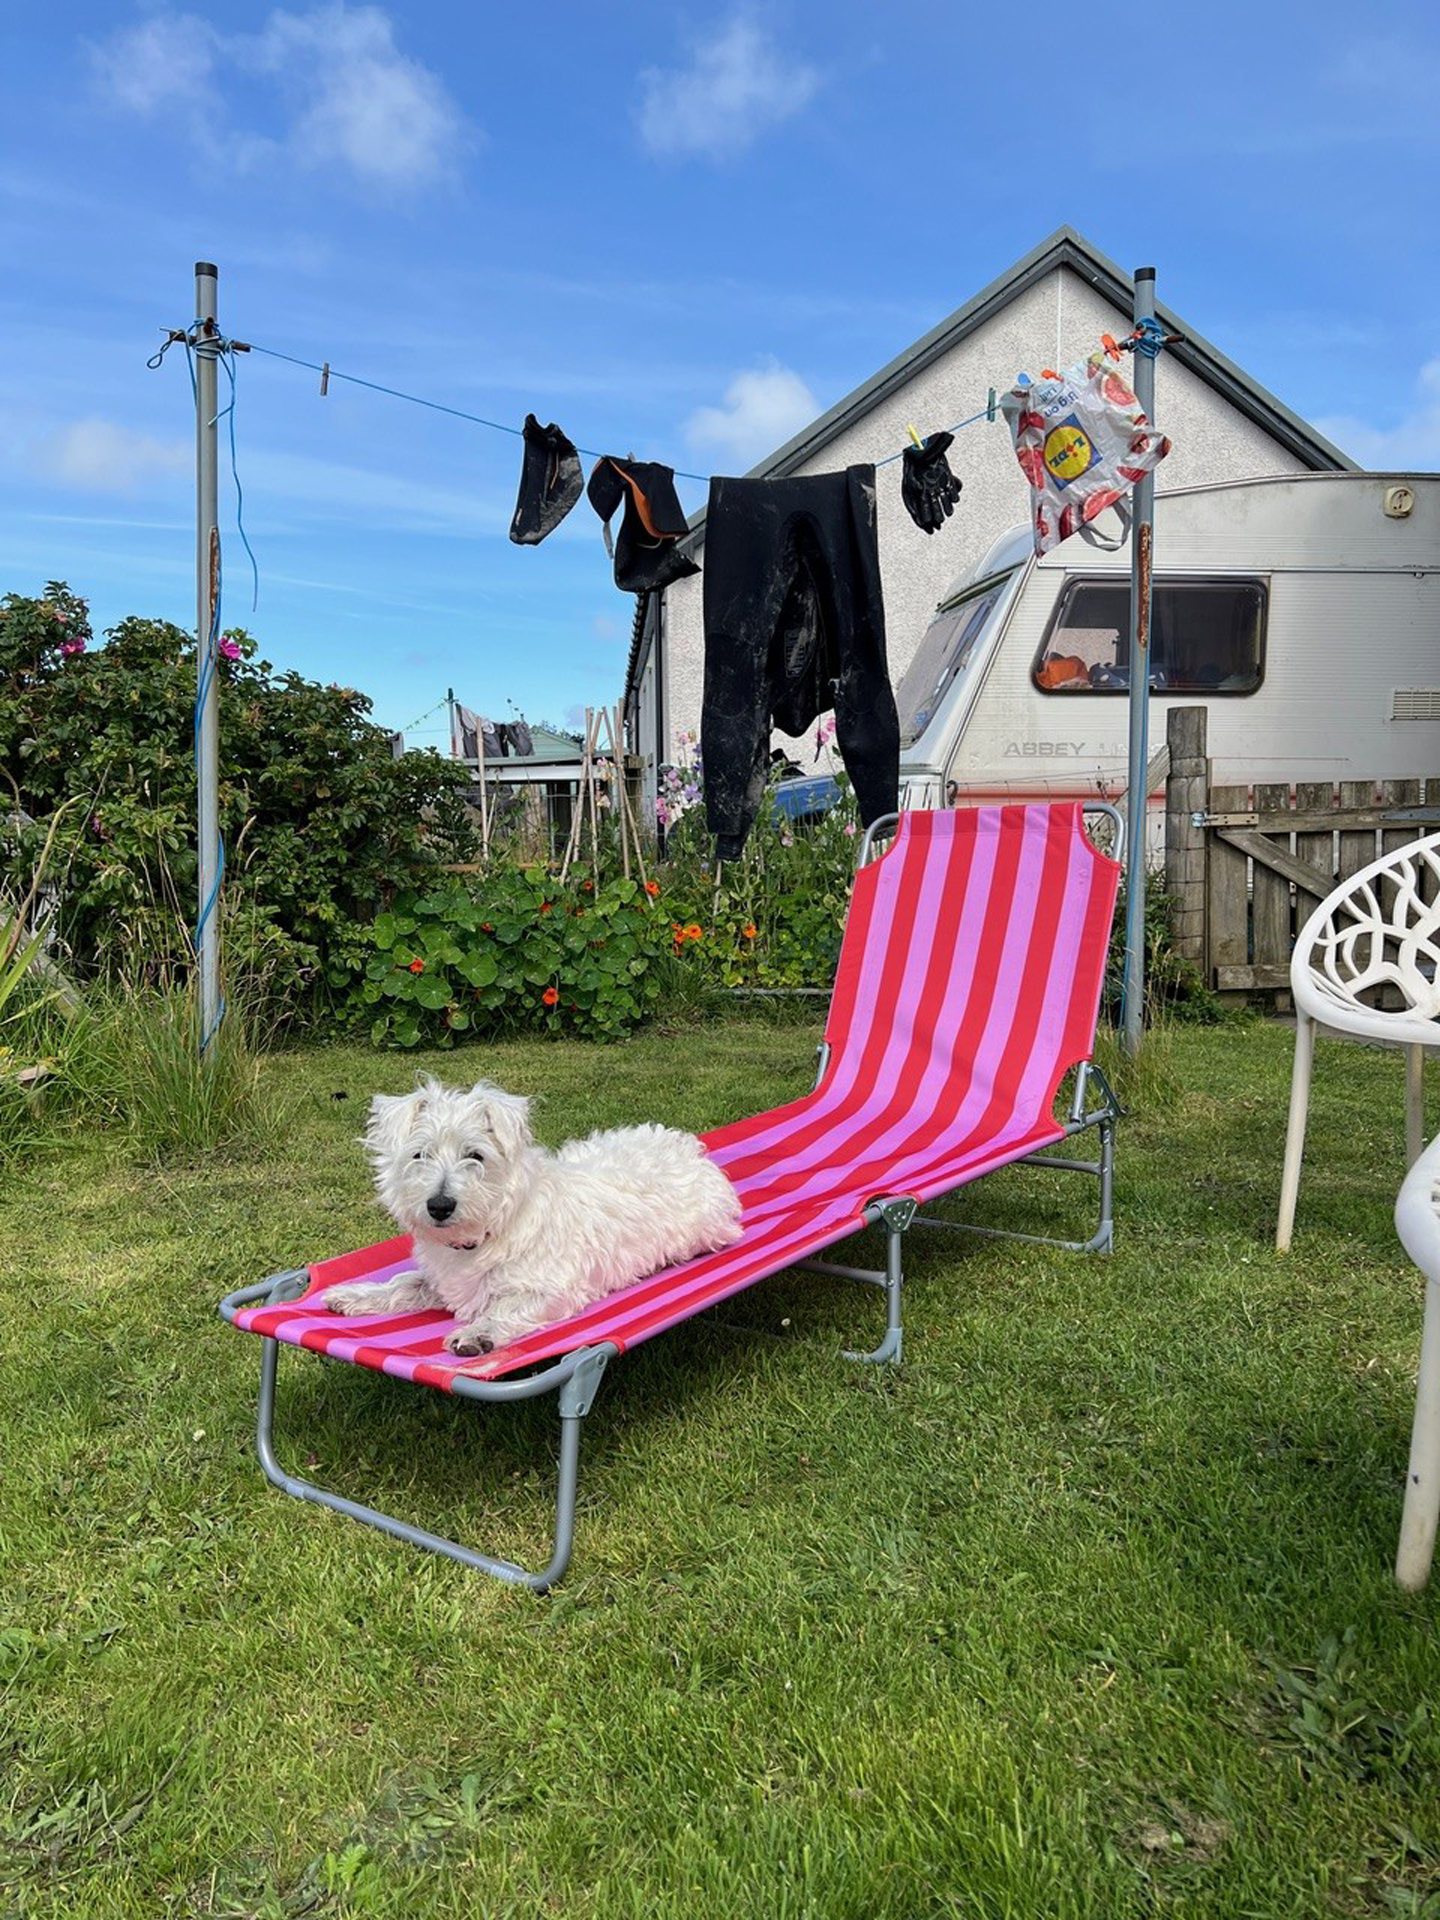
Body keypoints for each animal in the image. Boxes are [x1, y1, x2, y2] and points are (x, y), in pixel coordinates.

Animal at [324, 1082, 744, 1351]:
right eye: (419, 1155)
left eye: (475, 1155)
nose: (439, 1206)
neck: (487, 1233)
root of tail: (688, 1147)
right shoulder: (445, 1281)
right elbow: (403, 1283)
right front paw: (353, 1294)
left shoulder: (552, 1289)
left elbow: (505, 1306)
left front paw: (477, 1334)